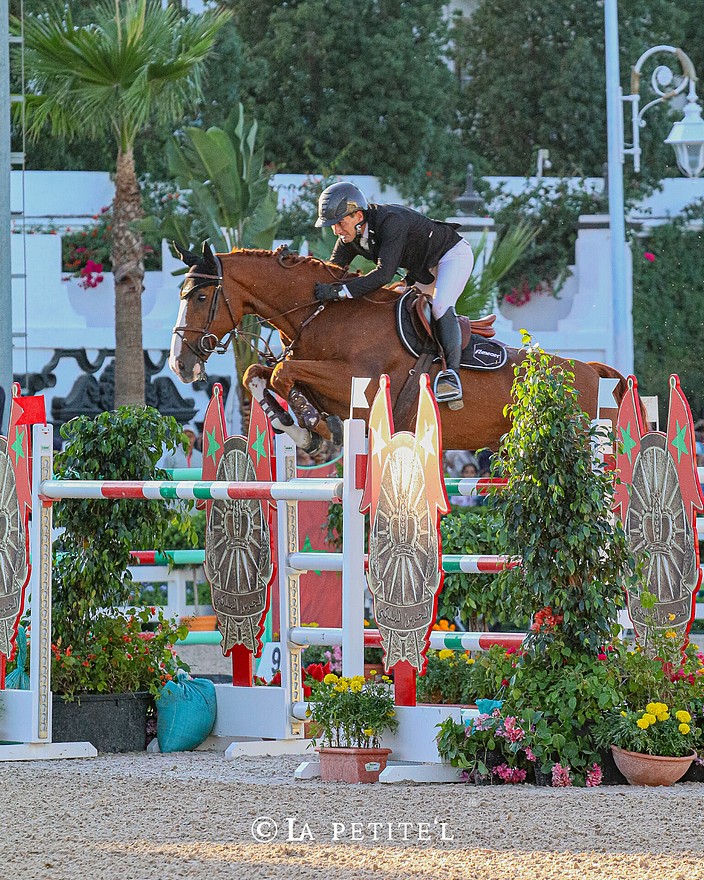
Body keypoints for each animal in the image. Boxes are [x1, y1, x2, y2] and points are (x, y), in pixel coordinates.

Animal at [170, 242, 628, 454]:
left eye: (199, 297)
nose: (180, 365)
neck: (323, 314)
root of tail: (592, 371)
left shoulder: (360, 384)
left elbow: (284, 373)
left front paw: (317, 428)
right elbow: (260, 374)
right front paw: (299, 429)